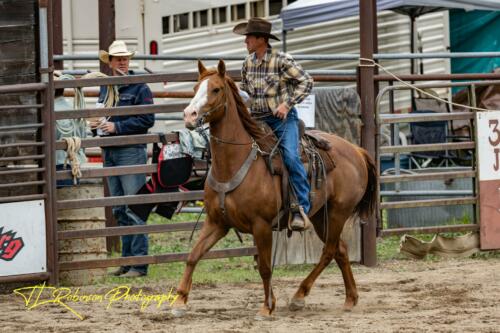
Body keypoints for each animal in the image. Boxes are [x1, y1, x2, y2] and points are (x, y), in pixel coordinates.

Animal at [172, 59, 376, 320]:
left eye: (216, 89)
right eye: (195, 88)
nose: (189, 115)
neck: (235, 162)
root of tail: (356, 150)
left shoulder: (261, 226)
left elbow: (266, 267)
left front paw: (267, 307)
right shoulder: (216, 223)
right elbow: (193, 256)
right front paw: (179, 300)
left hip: (338, 212)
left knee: (329, 250)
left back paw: (299, 295)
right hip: (319, 216)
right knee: (340, 249)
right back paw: (350, 298)